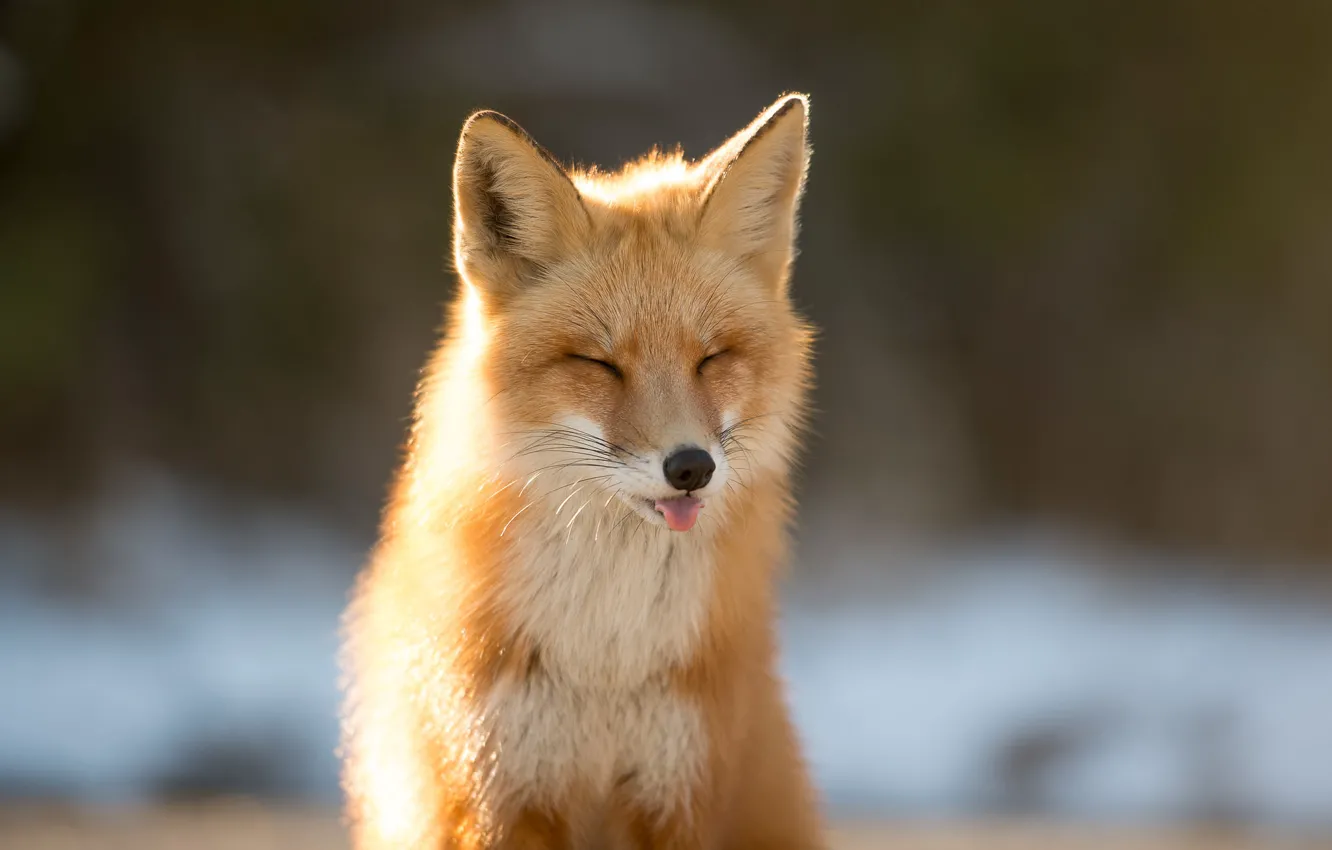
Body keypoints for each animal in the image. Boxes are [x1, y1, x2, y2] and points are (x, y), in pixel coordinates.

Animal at [340, 94, 822, 849]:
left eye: (711, 358)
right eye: (599, 364)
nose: (691, 467)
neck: (605, 666)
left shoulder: (678, 791)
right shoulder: (502, 789)